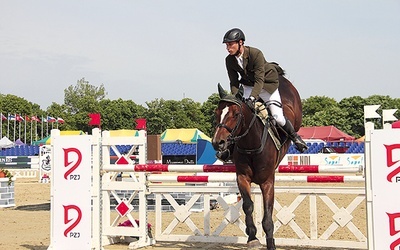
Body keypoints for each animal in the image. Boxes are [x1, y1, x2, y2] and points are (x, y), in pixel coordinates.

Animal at [211, 71, 302, 249]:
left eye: (236, 114)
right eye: (217, 113)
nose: (218, 142)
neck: (251, 144)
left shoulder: (267, 182)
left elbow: (267, 214)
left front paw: (270, 242)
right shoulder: (242, 178)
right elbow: (247, 205)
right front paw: (252, 236)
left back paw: (298, 140)